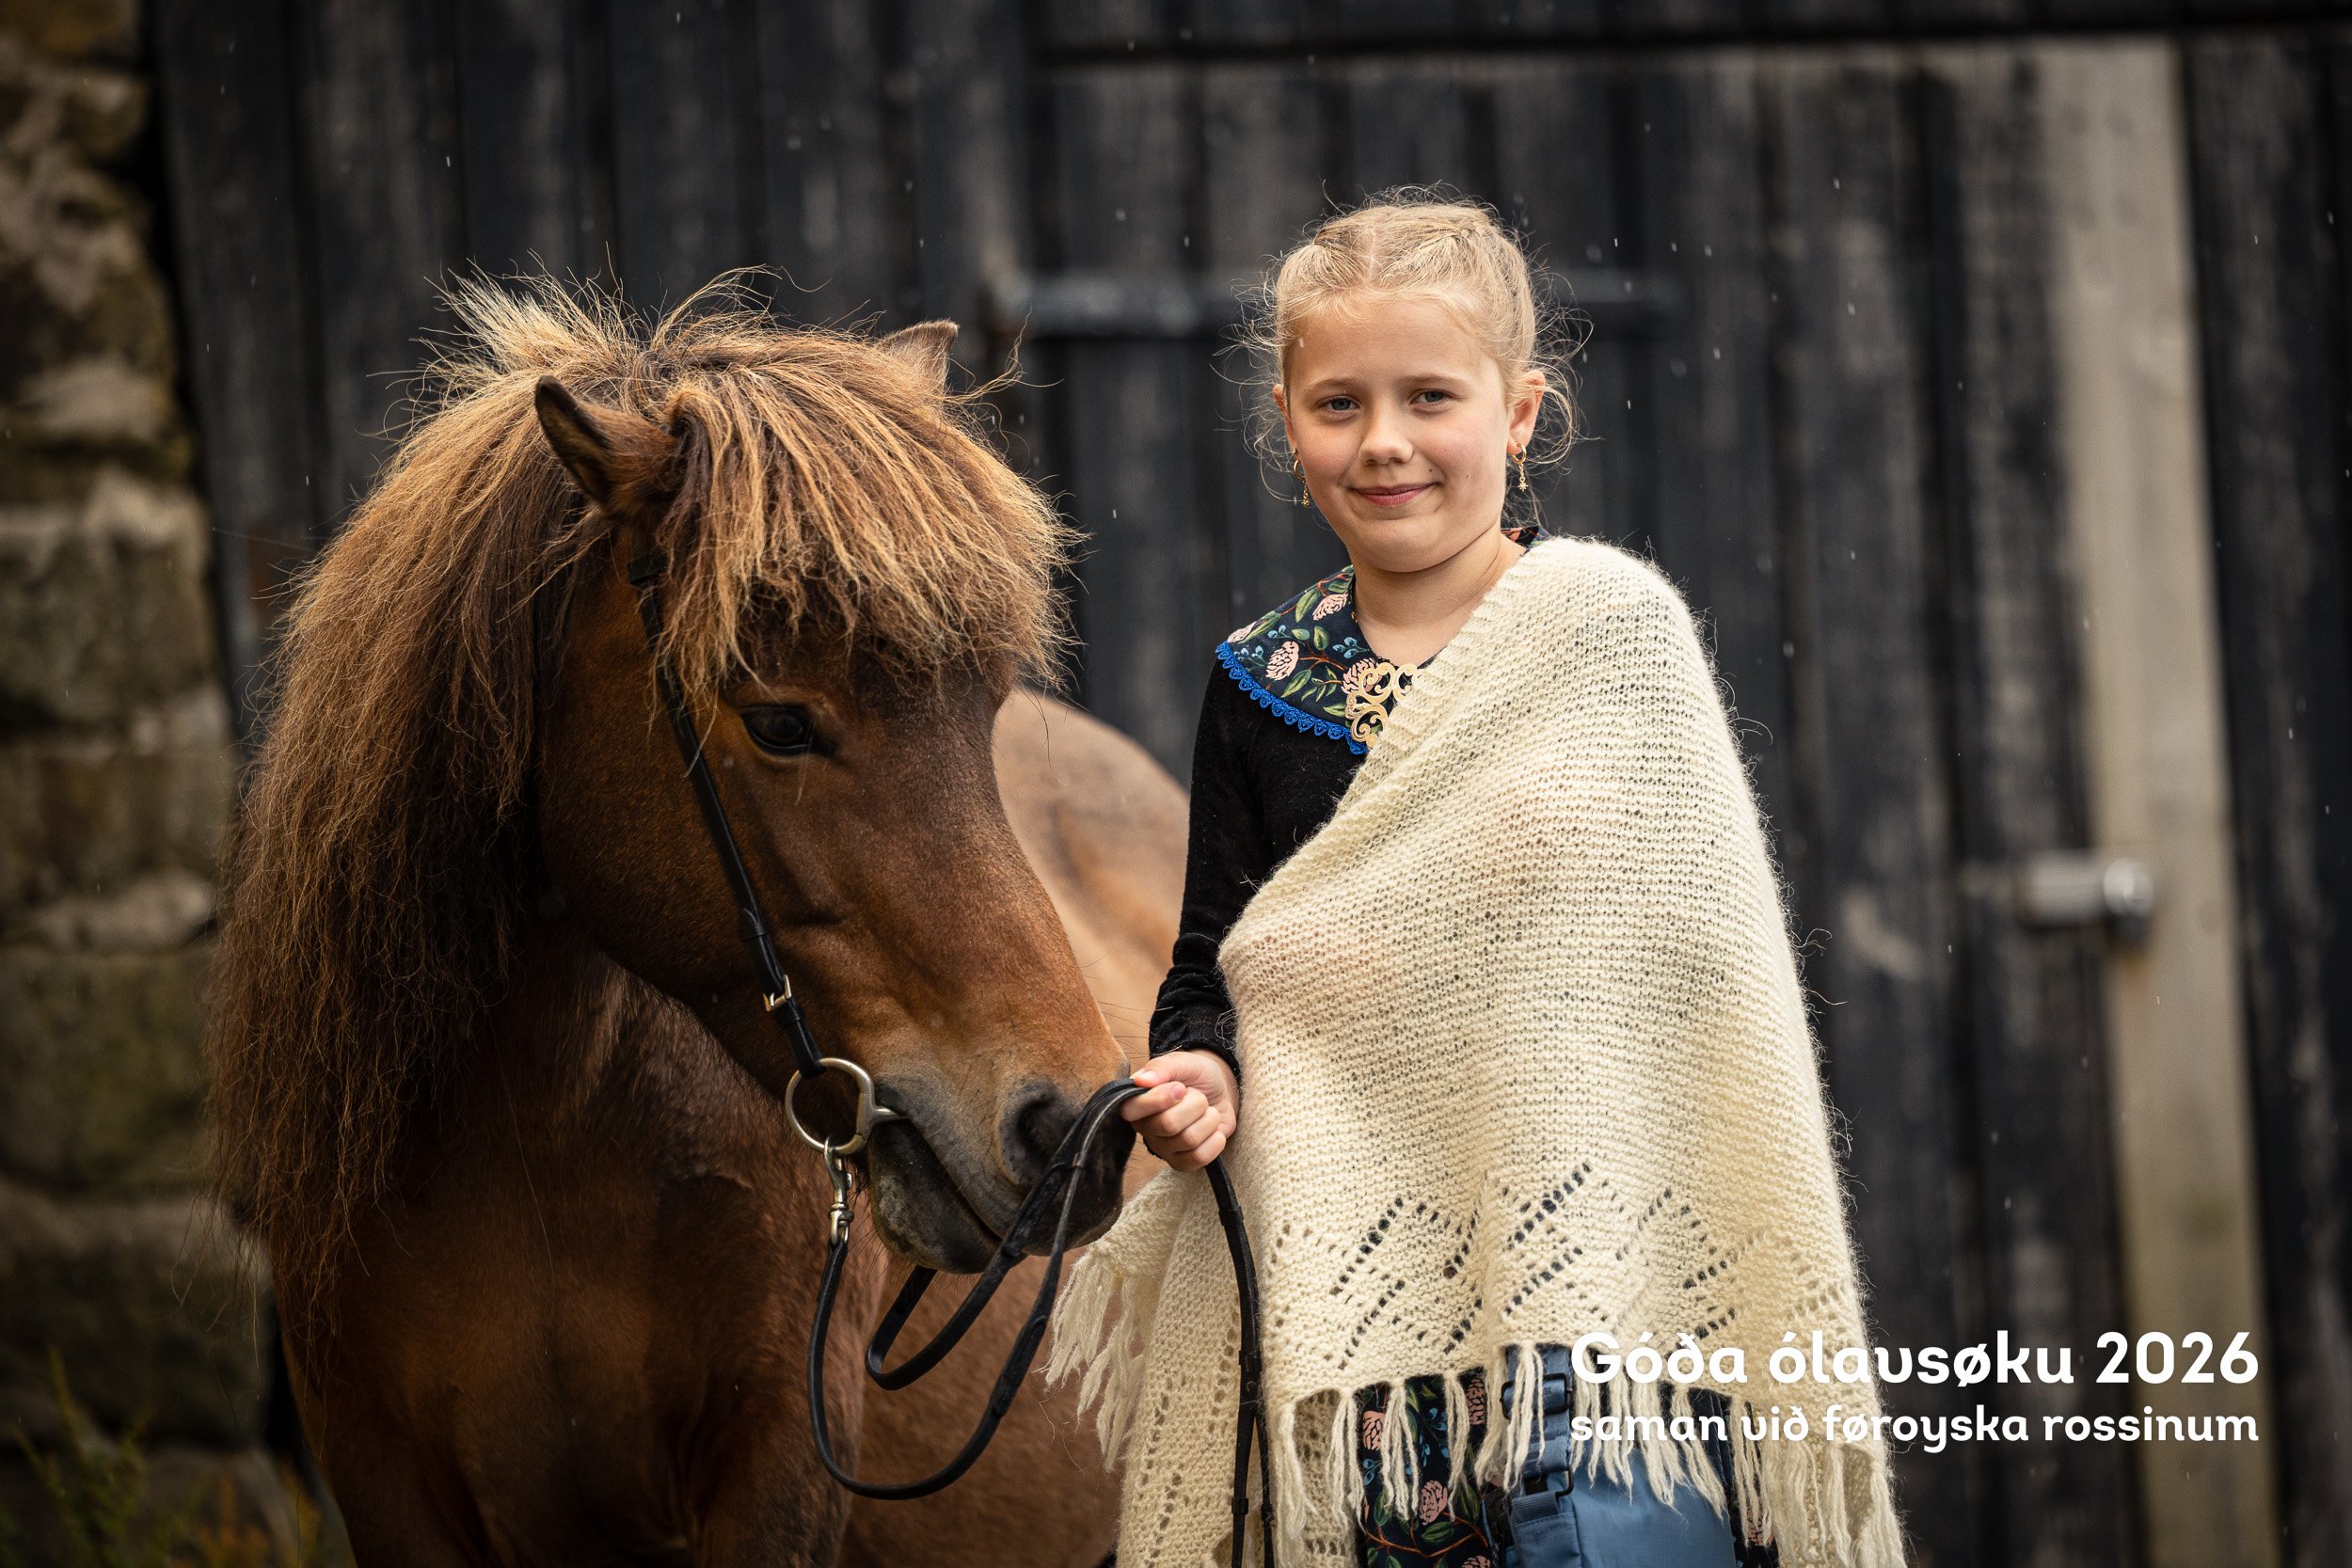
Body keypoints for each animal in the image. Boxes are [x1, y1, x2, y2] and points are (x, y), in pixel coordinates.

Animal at [202, 279, 1188, 1566]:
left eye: (985, 708)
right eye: (778, 723)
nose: (1076, 1123)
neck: (531, 1162)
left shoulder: (770, 1474)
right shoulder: (383, 1483)